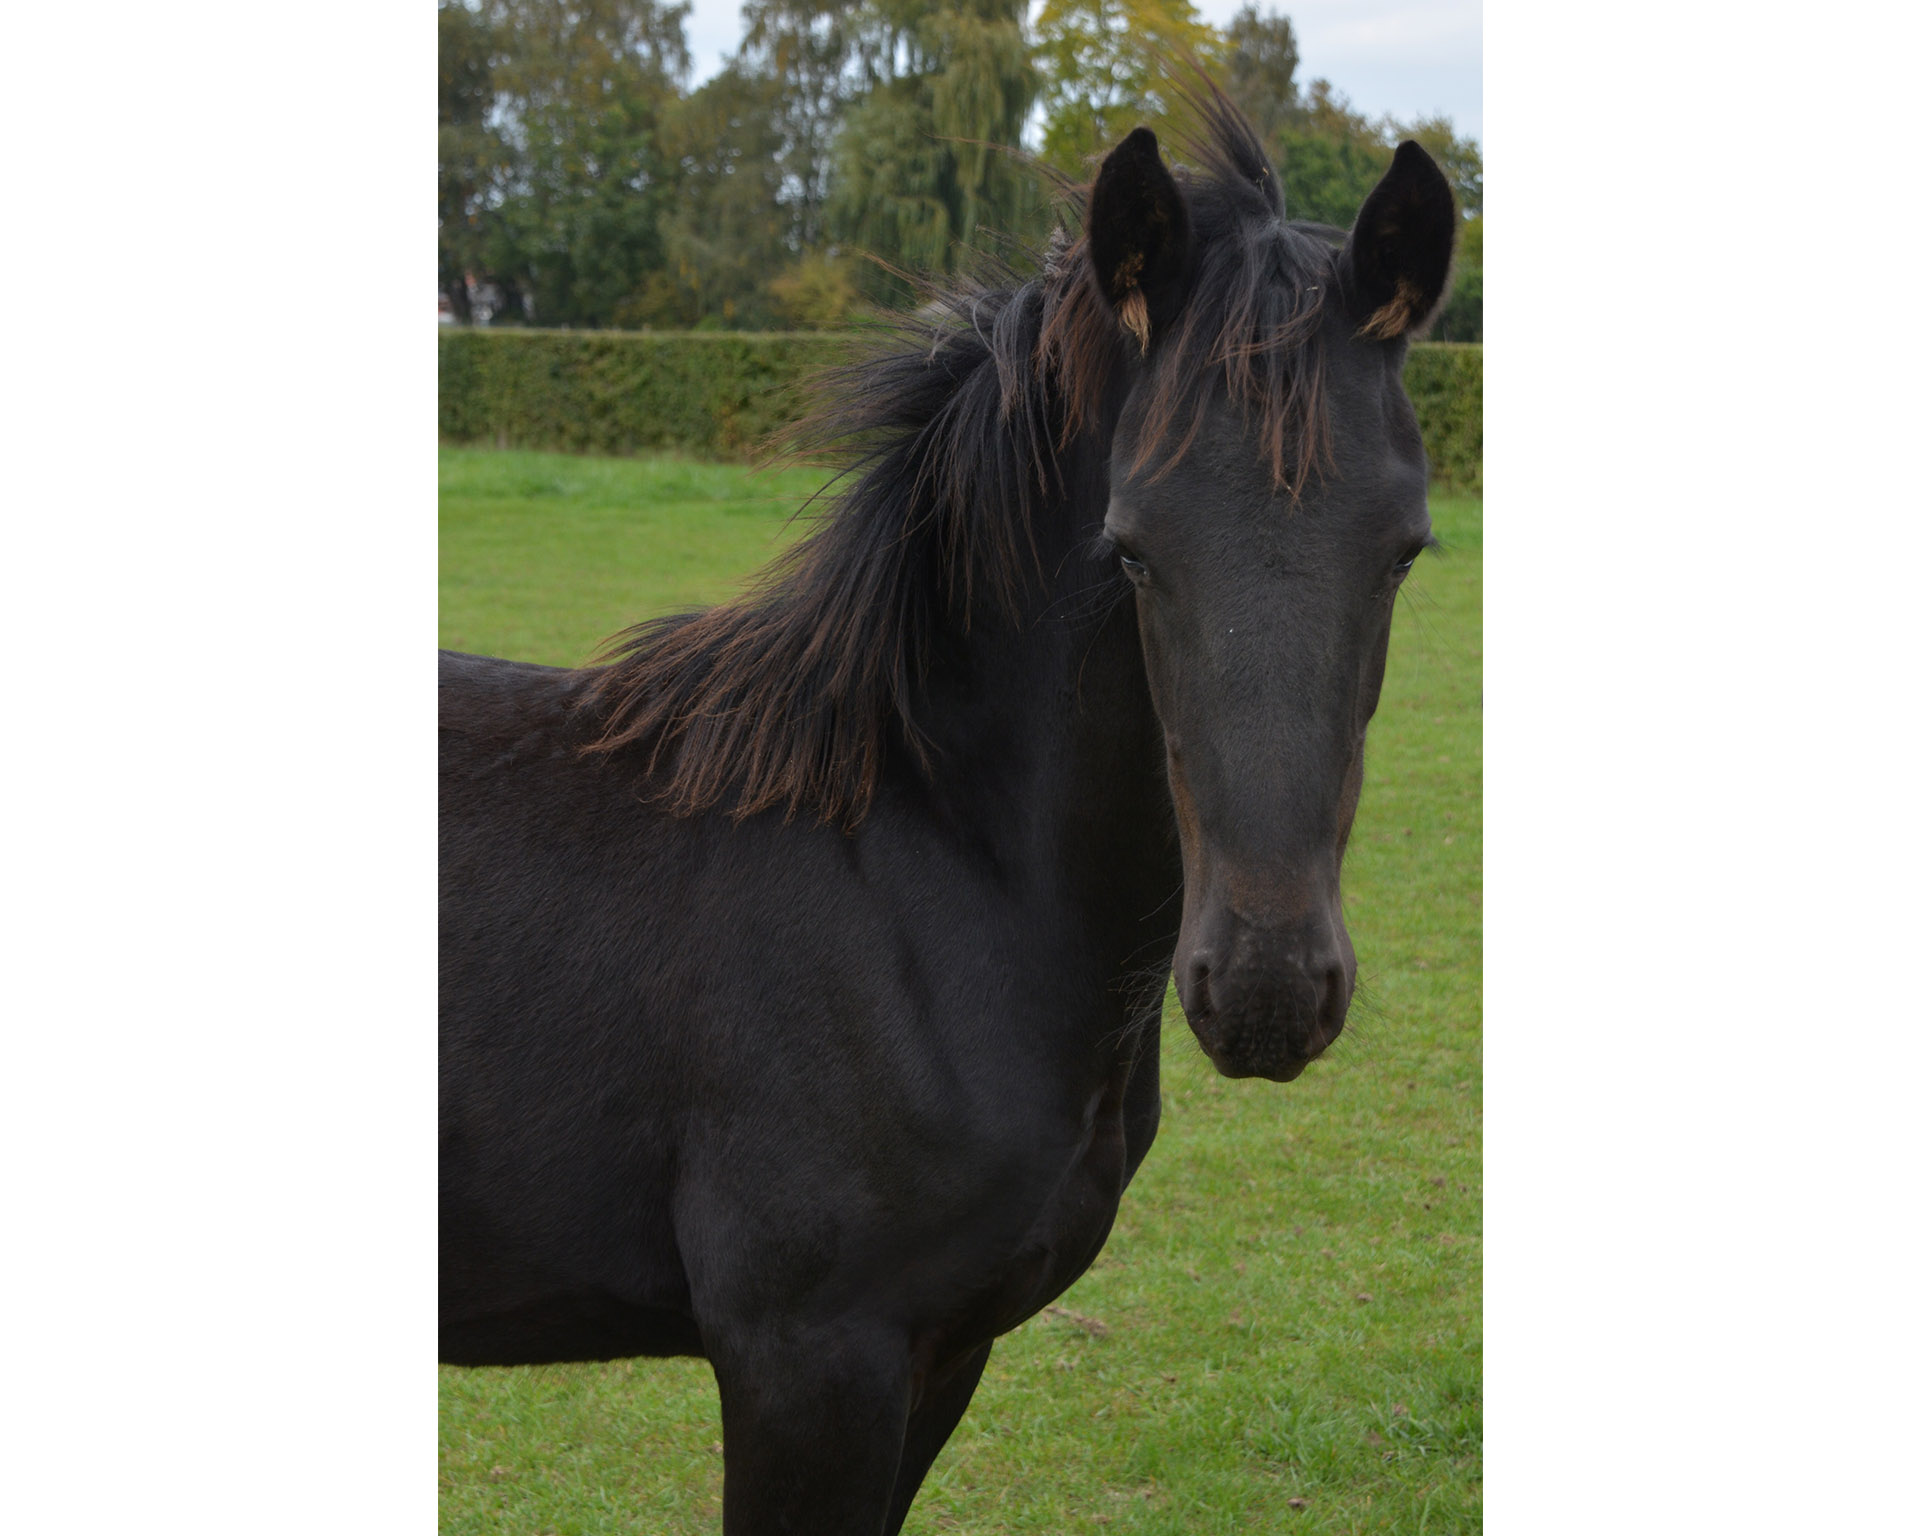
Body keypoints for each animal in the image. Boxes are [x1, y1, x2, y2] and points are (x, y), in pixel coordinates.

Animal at [440, 94, 1455, 1534]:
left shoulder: (946, 1351)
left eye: (1407, 547)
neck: (913, 875)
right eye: (1130, 548)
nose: (1265, 989)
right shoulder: (807, 1364)